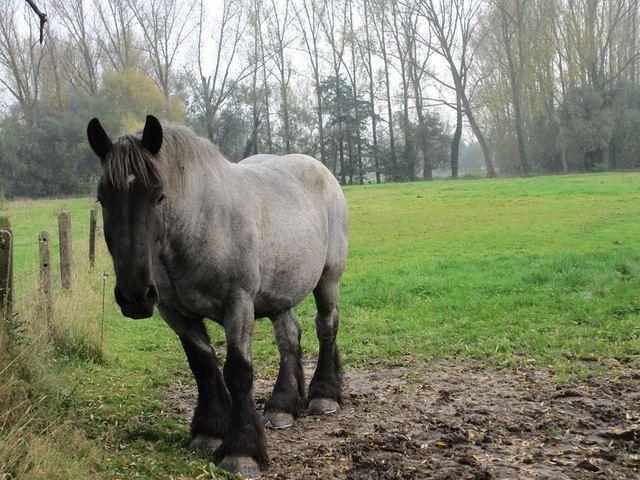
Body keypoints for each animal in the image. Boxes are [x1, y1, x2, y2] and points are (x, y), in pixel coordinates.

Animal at [87, 116, 348, 480]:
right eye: (103, 198)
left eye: (159, 196)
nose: (135, 295)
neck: (201, 222)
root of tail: (321, 170)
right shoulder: (176, 312)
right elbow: (204, 367)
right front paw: (209, 431)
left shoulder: (237, 305)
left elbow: (238, 372)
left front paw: (241, 451)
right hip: (278, 291)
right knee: (289, 338)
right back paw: (282, 406)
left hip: (328, 279)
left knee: (326, 326)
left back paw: (324, 395)